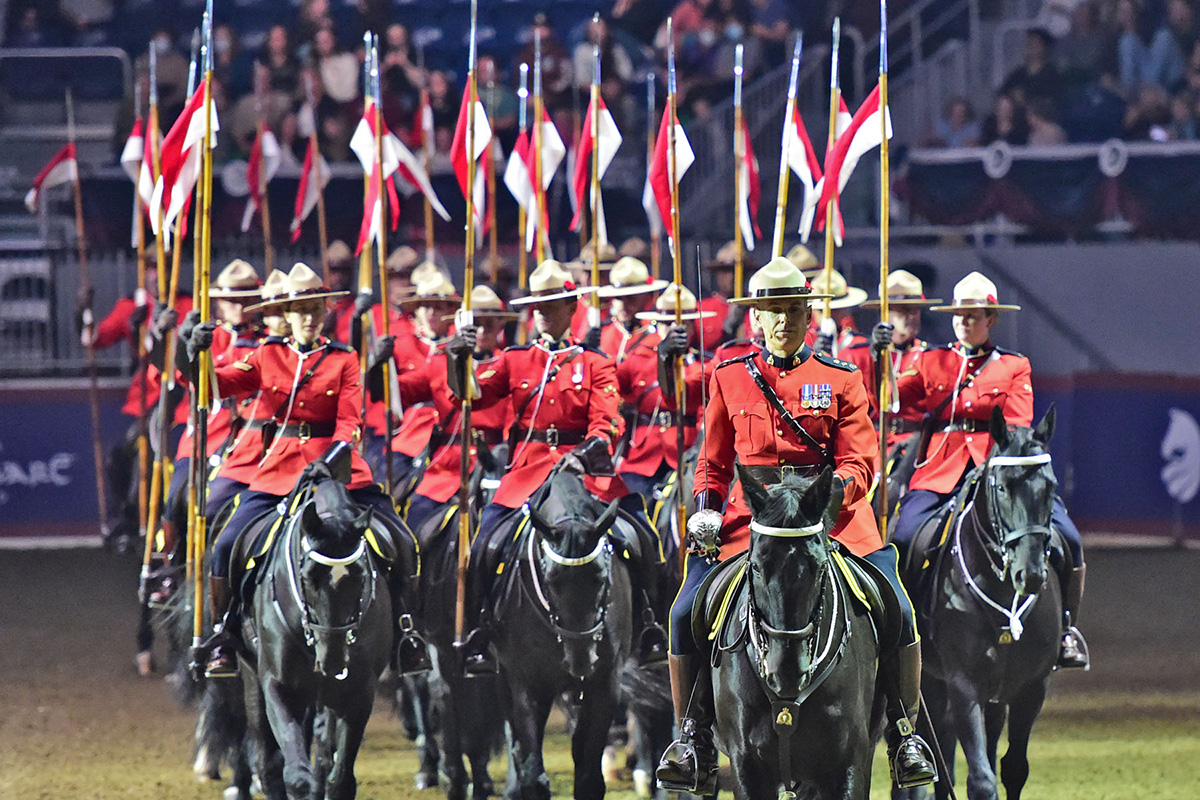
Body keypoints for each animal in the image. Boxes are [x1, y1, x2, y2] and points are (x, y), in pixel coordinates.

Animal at [236, 479, 396, 796]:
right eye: (309, 577)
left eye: (360, 577)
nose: (332, 659)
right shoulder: (278, 686)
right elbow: (296, 777)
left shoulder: (359, 693)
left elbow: (340, 779)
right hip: (253, 676)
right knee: (268, 761)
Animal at [489, 470, 633, 800]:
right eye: (551, 579)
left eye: (600, 577)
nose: (581, 660)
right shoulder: (527, 684)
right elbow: (533, 773)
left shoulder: (605, 683)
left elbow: (589, 775)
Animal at [902, 410, 1060, 800]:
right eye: (1001, 487)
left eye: (1051, 487)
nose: (1030, 574)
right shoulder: (964, 685)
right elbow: (981, 780)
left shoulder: (1031, 688)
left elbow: (1014, 768)